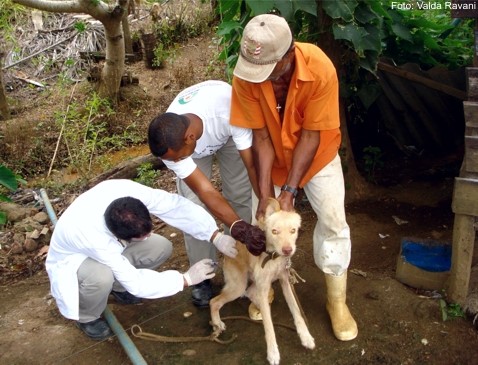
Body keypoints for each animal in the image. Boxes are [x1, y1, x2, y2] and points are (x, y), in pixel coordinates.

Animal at [209, 199, 314, 364]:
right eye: (274, 231)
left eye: (293, 231)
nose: (287, 250)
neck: (273, 257)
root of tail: (227, 253)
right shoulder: (264, 287)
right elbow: (269, 327)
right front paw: (273, 353)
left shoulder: (285, 282)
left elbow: (296, 312)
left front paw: (306, 337)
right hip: (238, 287)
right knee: (214, 301)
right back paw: (217, 323)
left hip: (255, 284)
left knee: (251, 294)